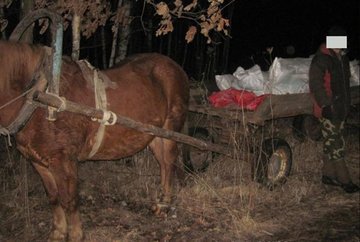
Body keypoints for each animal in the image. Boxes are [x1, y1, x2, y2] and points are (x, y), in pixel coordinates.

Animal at [0, 40, 190, 241]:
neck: (39, 100)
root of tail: (176, 67)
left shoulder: (64, 160)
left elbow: (69, 199)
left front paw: (76, 235)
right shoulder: (38, 162)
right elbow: (53, 197)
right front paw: (58, 232)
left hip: (170, 128)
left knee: (169, 162)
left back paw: (165, 204)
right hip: (152, 134)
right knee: (163, 164)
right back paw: (161, 201)